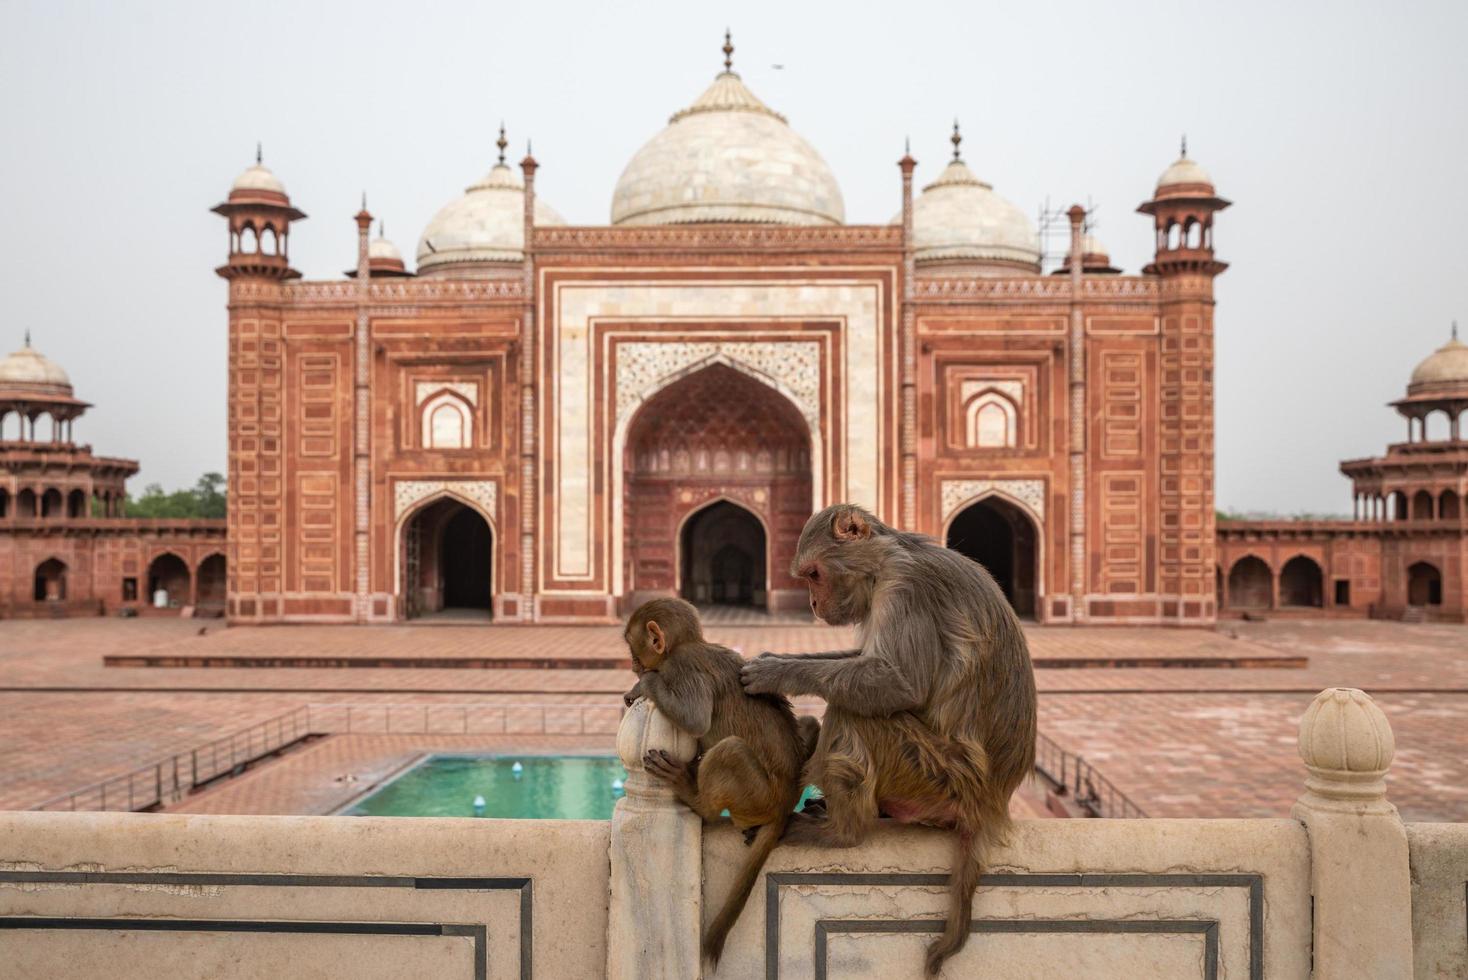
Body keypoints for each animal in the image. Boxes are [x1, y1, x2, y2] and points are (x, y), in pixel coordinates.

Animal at [619, 592, 822, 968]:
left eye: (633, 649)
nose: (633, 665)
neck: (689, 644)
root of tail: (786, 802)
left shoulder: (680, 667)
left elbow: (695, 718)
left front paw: (645, 684)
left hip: (755, 795)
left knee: (730, 751)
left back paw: (693, 794)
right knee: (810, 723)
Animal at [739, 501, 1039, 974]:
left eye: (813, 575)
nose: (812, 604)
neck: (887, 558)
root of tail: (991, 803)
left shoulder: (906, 587)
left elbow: (898, 684)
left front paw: (776, 672)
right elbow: (866, 662)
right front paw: (777, 658)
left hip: (935, 775)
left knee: (854, 711)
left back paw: (842, 831)